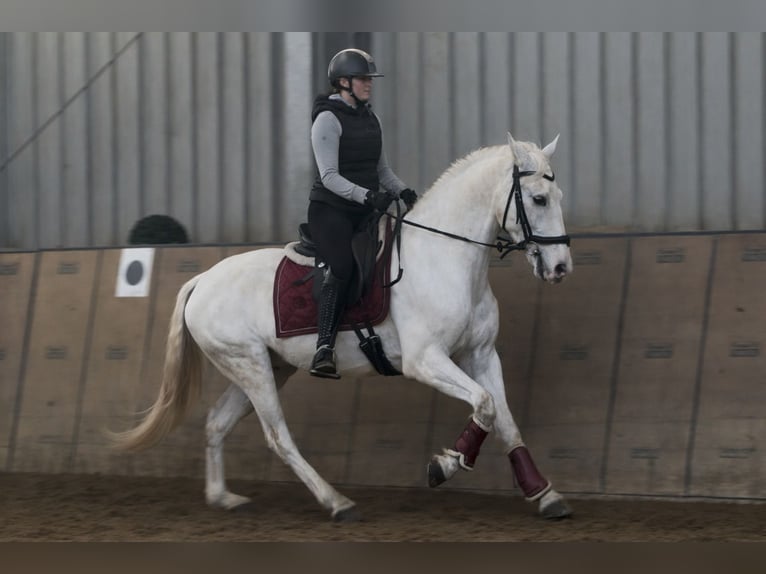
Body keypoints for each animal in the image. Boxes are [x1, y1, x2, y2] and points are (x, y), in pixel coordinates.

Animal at [112, 132, 574, 522]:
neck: (445, 258)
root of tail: (202, 280)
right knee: (278, 436)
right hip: (249, 366)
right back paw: (336, 502)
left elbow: (503, 418)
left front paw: (543, 493)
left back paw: (223, 497)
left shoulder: (481, 355)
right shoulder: (425, 361)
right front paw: (444, 465)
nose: (560, 268)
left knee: (217, 423)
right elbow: (484, 404)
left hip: (265, 367)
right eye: (538, 199)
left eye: (557, 196)